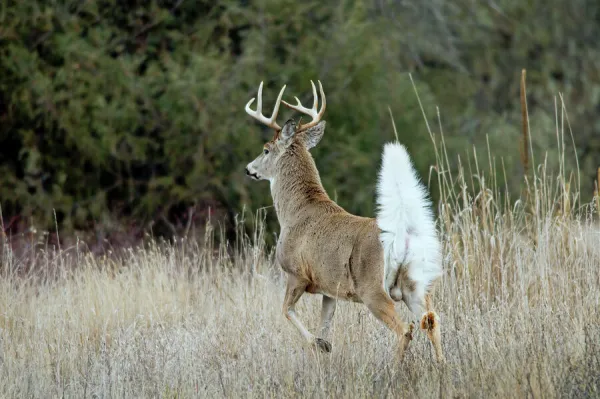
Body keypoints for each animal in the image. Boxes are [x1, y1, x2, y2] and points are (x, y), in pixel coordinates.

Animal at [244, 79, 446, 362]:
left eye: (266, 150)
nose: (248, 169)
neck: (295, 212)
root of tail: (402, 237)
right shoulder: (330, 288)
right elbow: (325, 324)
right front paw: (323, 347)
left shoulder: (297, 273)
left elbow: (286, 311)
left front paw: (319, 344)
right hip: (415, 285)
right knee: (432, 320)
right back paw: (441, 367)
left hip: (373, 288)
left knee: (405, 329)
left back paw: (393, 369)